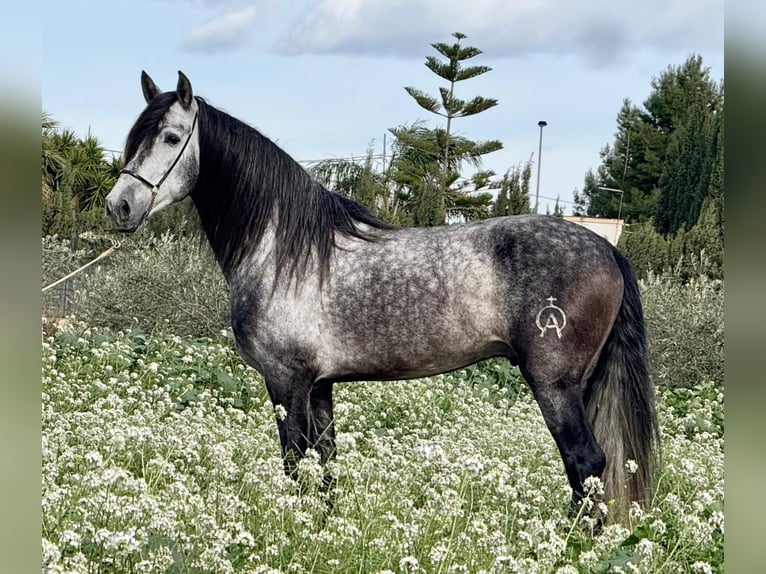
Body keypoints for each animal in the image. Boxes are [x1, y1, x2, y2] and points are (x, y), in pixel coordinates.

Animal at [105, 71, 658, 522]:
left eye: (171, 137)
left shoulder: (287, 382)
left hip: (555, 386)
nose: (119, 206)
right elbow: (325, 463)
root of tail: (607, 250)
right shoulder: (319, 386)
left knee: (585, 462)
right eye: (134, 137)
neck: (282, 250)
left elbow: (295, 463)